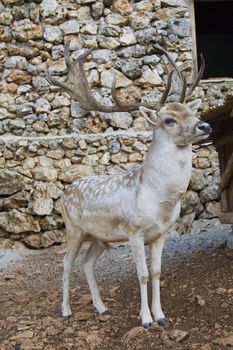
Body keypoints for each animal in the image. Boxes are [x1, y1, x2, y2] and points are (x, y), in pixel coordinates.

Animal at [47, 41, 211, 328]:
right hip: (73, 229)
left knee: (87, 264)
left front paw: (161, 316)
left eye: (192, 112)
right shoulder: (135, 231)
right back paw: (66, 310)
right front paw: (145, 319)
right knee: (66, 264)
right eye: (169, 119)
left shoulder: (161, 233)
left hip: (99, 237)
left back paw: (102, 308)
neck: (157, 199)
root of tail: (65, 192)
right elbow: (142, 275)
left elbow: (157, 272)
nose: (206, 126)